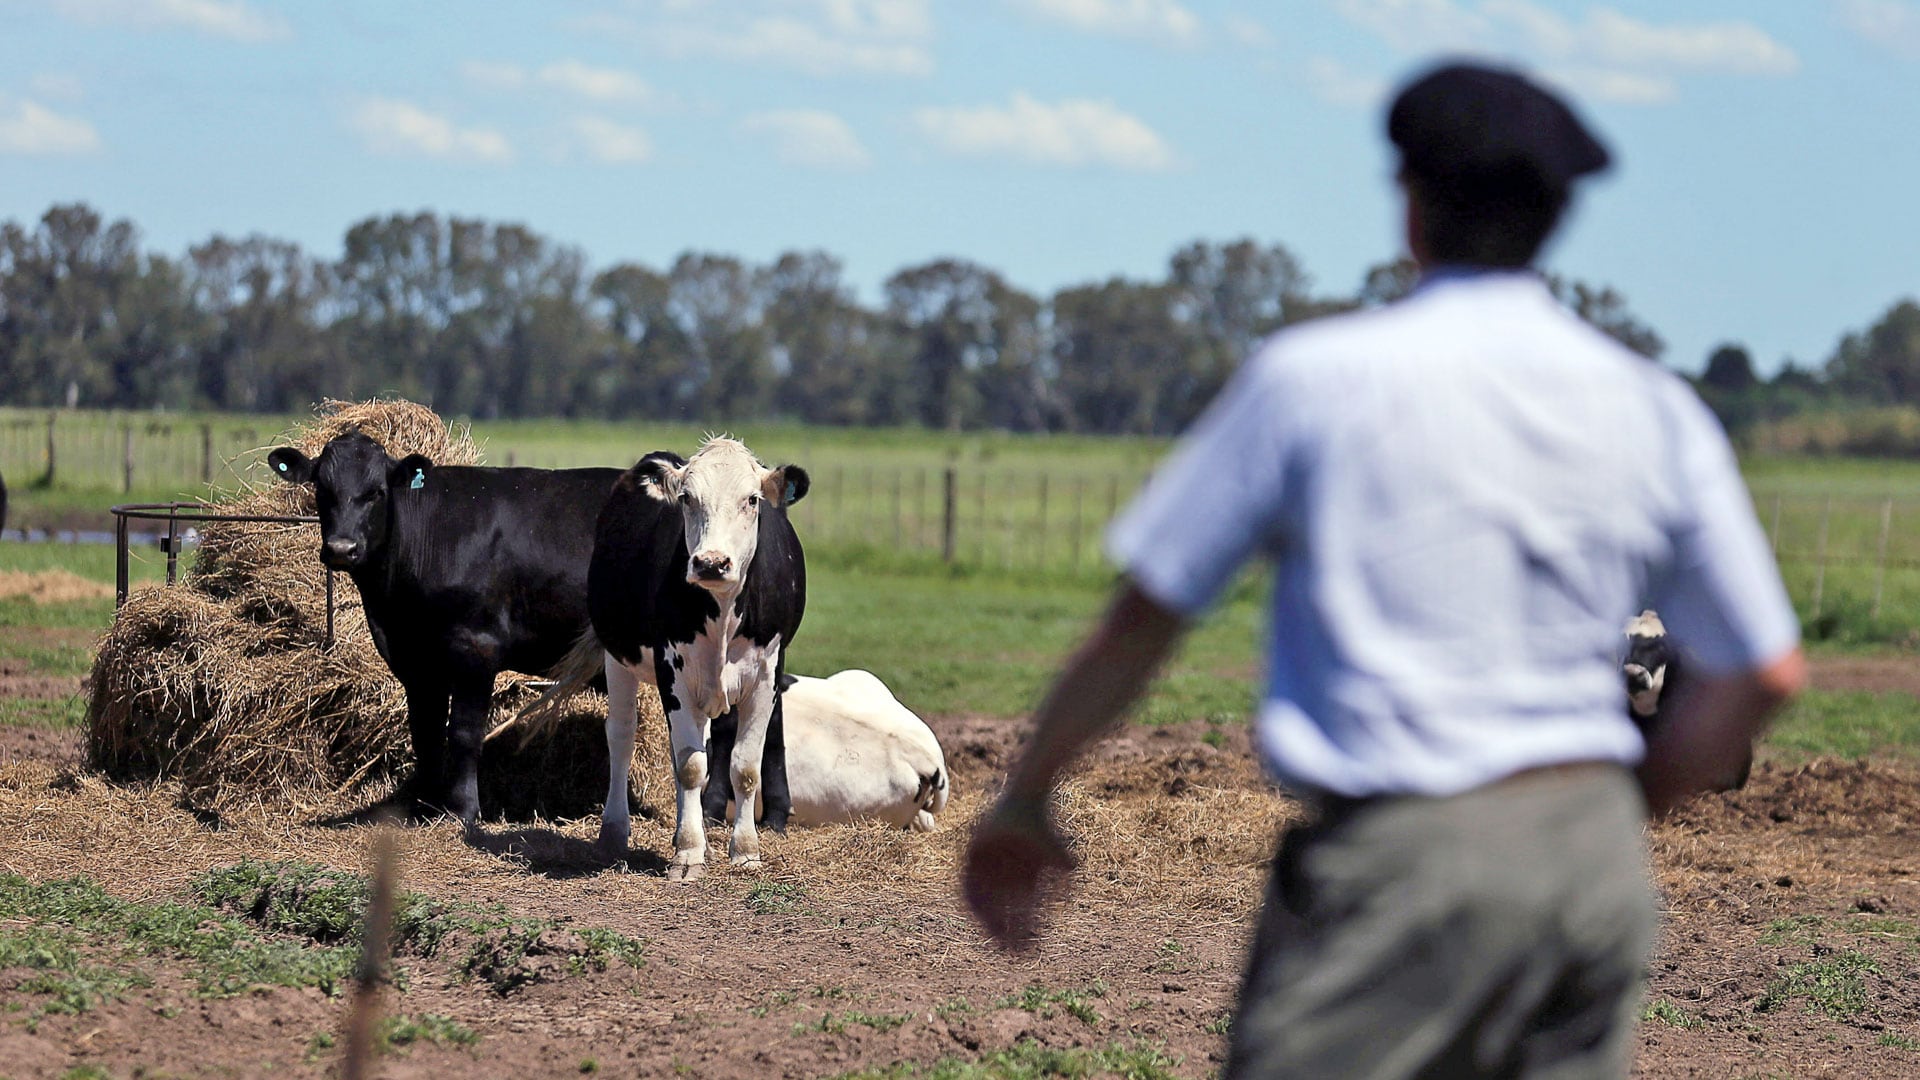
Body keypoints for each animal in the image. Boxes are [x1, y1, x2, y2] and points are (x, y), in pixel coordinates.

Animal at [264, 432, 614, 818]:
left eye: (376, 492)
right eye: (322, 488)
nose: (342, 549)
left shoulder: (476, 648)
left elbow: (462, 733)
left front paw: (463, 809)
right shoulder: (414, 659)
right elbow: (425, 731)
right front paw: (424, 804)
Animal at [545, 432, 806, 880]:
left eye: (752, 499)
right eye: (686, 498)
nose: (711, 563)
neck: (722, 612)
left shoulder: (767, 674)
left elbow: (744, 767)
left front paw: (745, 850)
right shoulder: (673, 671)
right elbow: (690, 766)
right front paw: (688, 852)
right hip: (618, 657)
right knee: (622, 735)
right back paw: (614, 831)